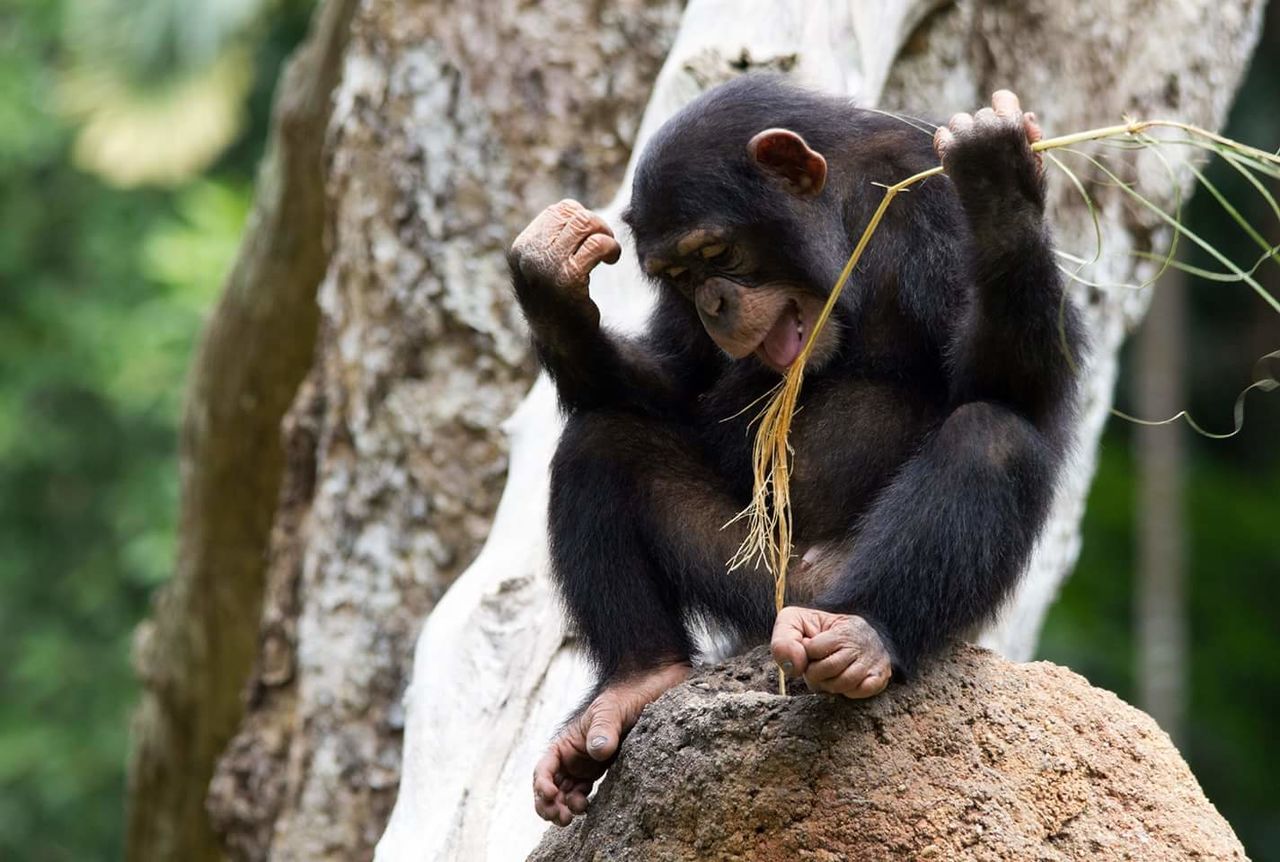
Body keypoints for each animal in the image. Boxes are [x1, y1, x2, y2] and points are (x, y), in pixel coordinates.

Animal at [509, 73, 1080, 819]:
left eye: (717, 254)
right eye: (680, 276)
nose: (714, 303)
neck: (847, 214)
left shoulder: (928, 206)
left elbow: (1017, 393)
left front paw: (1000, 182)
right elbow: (677, 386)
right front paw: (551, 285)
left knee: (992, 438)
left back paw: (862, 633)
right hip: (756, 581)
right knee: (601, 440)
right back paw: (636, 680)